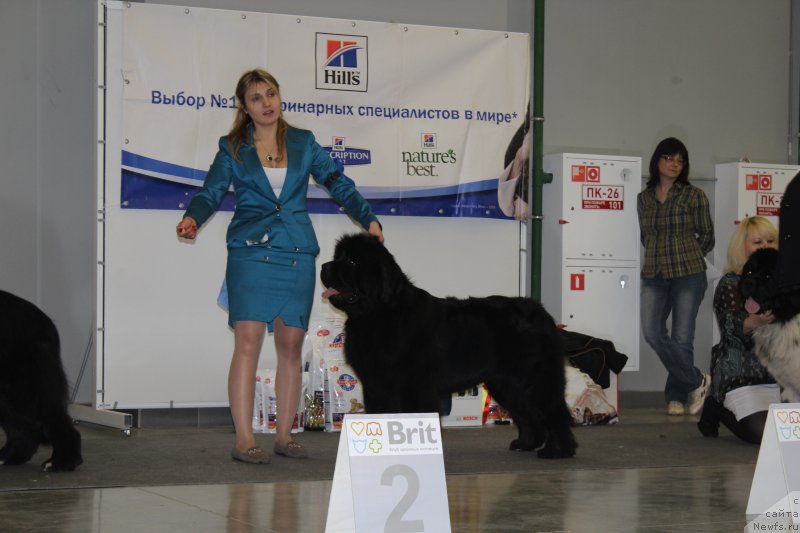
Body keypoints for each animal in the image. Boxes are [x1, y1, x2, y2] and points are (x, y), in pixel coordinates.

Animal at [0, 290, 83, 470]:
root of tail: (47, 323)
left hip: (26, 388)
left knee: (53, 419)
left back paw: (62, 462)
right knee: (21, 429)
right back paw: (10, 456)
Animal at [322, 233, 580, 458]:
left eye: (352, 261)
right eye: (338, 256)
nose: (324, 266)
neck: (378, 314)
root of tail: (542, 313)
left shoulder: (415, 387)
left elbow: (415, 419)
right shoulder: (377, 385)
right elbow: (382, 416)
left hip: (534, 378)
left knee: (554, 411)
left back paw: (558, 451)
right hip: (506, 383)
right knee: (526, 412)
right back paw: (527, 443)